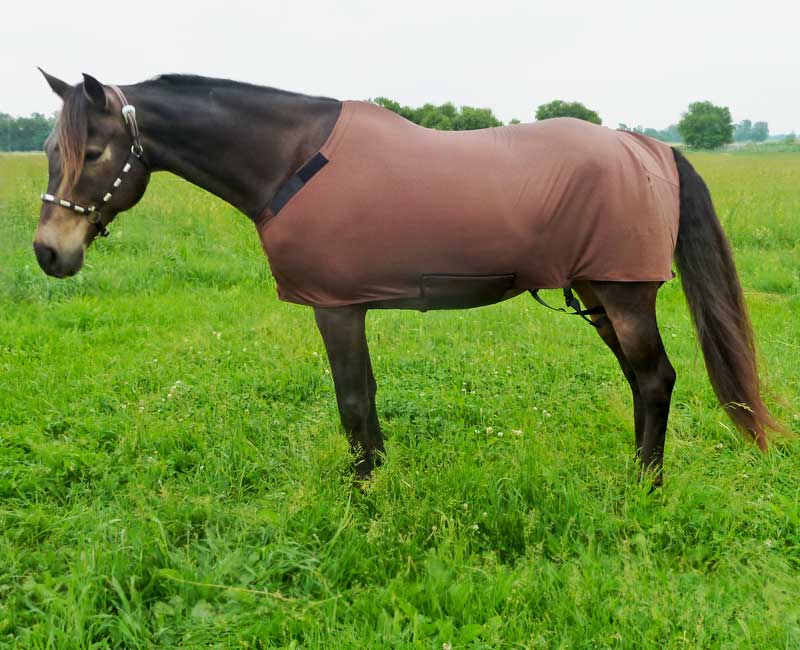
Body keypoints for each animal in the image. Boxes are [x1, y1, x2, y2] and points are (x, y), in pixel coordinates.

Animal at [32, 71, 782, 486]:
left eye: (93, 151)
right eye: (47, 149)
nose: (48, 252)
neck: (290, 160)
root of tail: (647, 145)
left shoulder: (335, 307)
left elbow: (353, 402)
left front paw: (362, 492)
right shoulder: (349, 305)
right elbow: (364, 403)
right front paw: (379, 477)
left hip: (625, 294)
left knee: (655, 380)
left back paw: (645, 488)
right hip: (597, 293)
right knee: (639, 380)